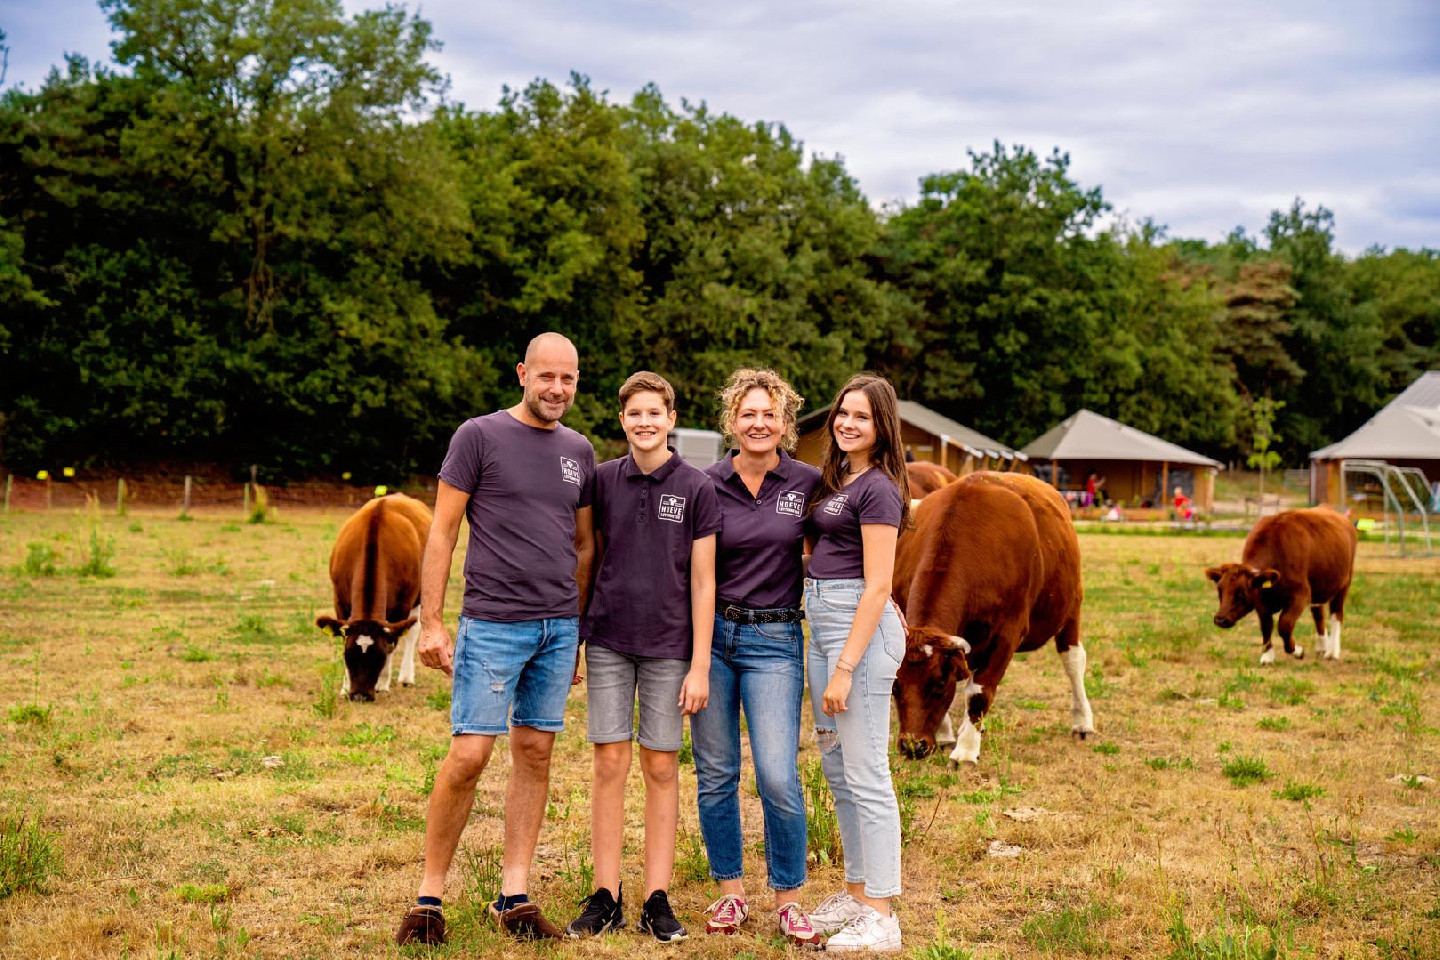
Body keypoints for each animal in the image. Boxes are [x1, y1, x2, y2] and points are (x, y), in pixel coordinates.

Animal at [313, 495, 429, 699]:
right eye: (348, 655)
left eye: (379, 658)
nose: (360, 695)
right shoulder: (339, 600)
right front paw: (345, 687)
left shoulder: (402, 605)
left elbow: (393, 641)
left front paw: (382, 683)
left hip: (420, 596)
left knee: (413, 631)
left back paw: (406, 677)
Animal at [887, 472, 1088, 765]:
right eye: (894, 686)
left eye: (939, 684)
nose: (913, 746)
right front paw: (947, 735)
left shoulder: (1006, 634)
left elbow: (979, 693)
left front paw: (966, 751)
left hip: (1071, 609)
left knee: (1073, 661)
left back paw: (1082, 722)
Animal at [1203, 506, 1359, 664]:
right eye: (1220, 590)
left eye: (1241, 593)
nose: (1220, 619)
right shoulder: (1260, 601)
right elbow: (1266, 626)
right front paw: (1267, 655)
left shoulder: (1301, 595)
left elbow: (1285, 625)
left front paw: (1297, 651)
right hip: (1319, 586)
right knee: (1318, 613)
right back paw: (1322, 646)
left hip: (1344, 583)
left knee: (1336, 615)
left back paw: (1332, 651)